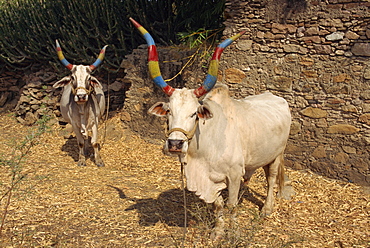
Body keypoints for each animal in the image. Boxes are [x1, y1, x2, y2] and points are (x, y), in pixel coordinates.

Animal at [52, 40, 107, 168]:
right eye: (73, 77)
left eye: (89, 78)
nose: (81, 96)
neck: (82, 108)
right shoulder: (74, 124)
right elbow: (80, 142)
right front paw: (81, 160)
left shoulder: (95, 122)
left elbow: (94, 142)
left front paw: (98, 160)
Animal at [130, 17, 292, 238]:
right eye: (169, 111)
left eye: (194, 113)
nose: (175, 143)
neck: (204, 150)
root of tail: (276, 97)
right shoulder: (212, 180)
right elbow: (218, 205)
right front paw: (218, 231)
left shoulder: (233, 174)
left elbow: (231, 205)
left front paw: (234, 231)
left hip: (277, 155)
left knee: (271, 178)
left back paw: (267, 208)